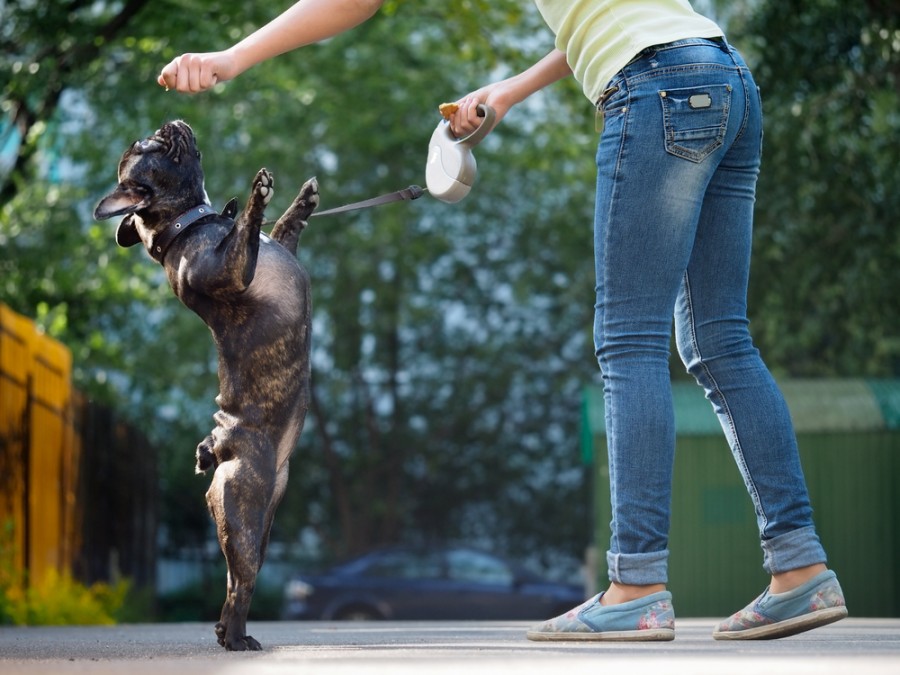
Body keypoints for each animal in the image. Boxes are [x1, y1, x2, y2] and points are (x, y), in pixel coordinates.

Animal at [94, 120, 320, 648]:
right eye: (147, 146)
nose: (168, 124)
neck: (193, 223)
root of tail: (218, 446)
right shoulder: (232, 271)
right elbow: (248, 233)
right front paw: (257, 196)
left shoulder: (277, 246)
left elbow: (283, 228)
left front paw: (301, 202)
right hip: (243, 505)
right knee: (243, 579)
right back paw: (235, 638)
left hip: (262, 515)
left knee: (236, 576)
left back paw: (224, 629)